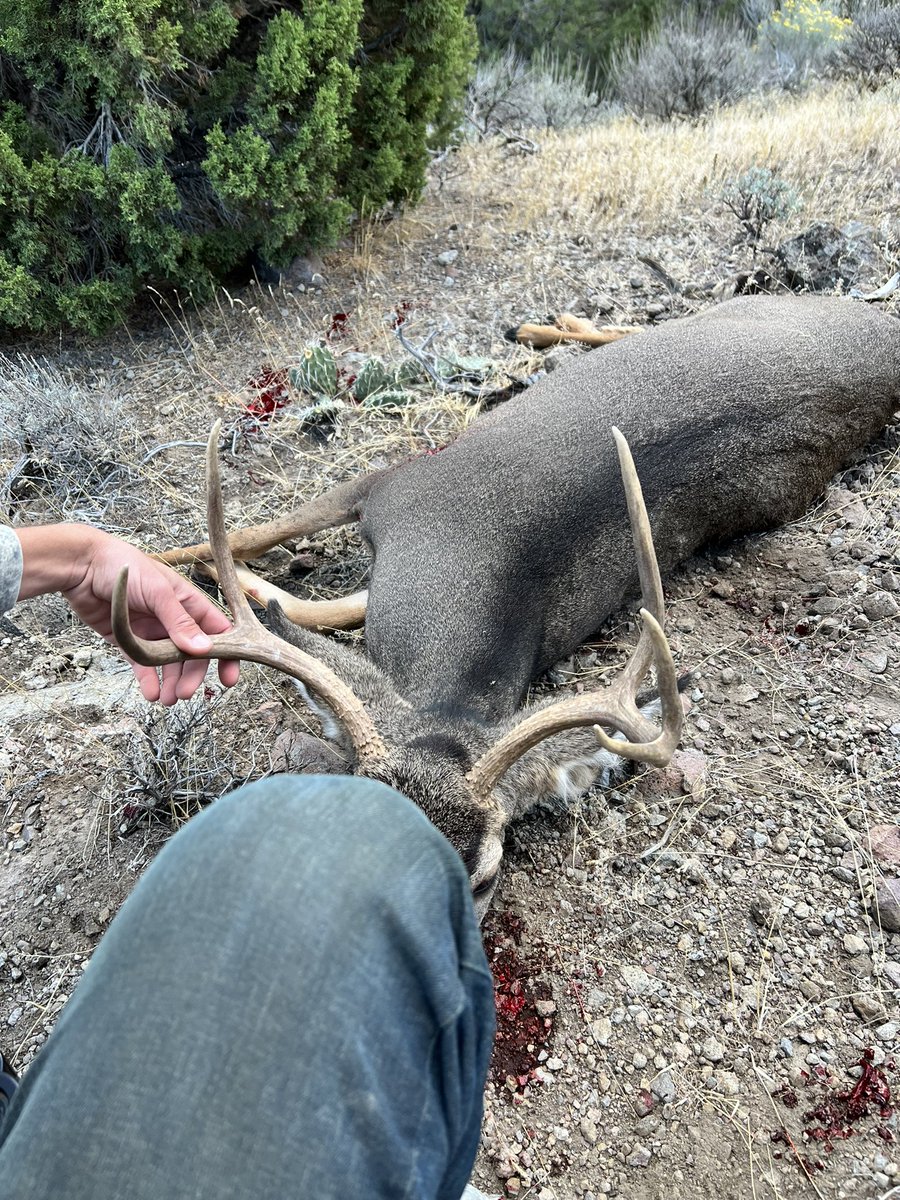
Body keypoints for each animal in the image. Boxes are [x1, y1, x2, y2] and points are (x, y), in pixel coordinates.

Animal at [146, 293, 899, 913]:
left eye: (481, 880)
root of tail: (885, 342)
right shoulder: (389, 479)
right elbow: (234, 540)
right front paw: (157, 563)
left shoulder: (390, 493)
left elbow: (291, 590)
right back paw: (542, 327)